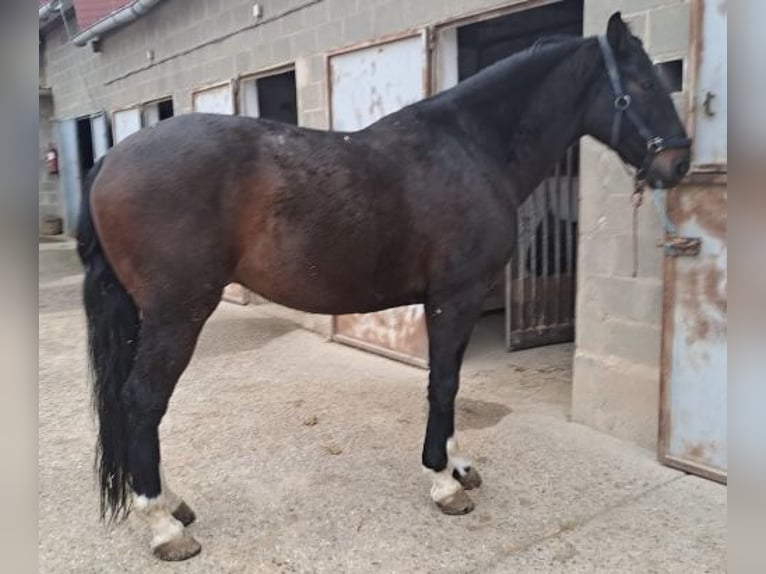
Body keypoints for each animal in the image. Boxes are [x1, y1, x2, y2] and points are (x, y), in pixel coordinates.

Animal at [76, 13, 688, 564]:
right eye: (645, 83)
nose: (679, 163)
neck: (471, 147)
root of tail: (109, 160)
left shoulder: (453, 302)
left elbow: (451, 382)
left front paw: (458, 465)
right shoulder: (456, 297)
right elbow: (443, 384)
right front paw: (444, 483)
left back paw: (174, 505)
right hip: (178, 313)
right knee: (142, 400)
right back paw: (163, 525)